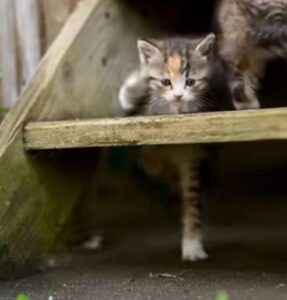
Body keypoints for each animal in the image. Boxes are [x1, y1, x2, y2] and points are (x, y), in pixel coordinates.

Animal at [118, 34, 227, 260]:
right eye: (165, 82)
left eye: (190, 82)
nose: (178, 96)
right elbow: (147, 154)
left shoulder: (195, 154)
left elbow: (192, 200)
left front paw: (192, 245)